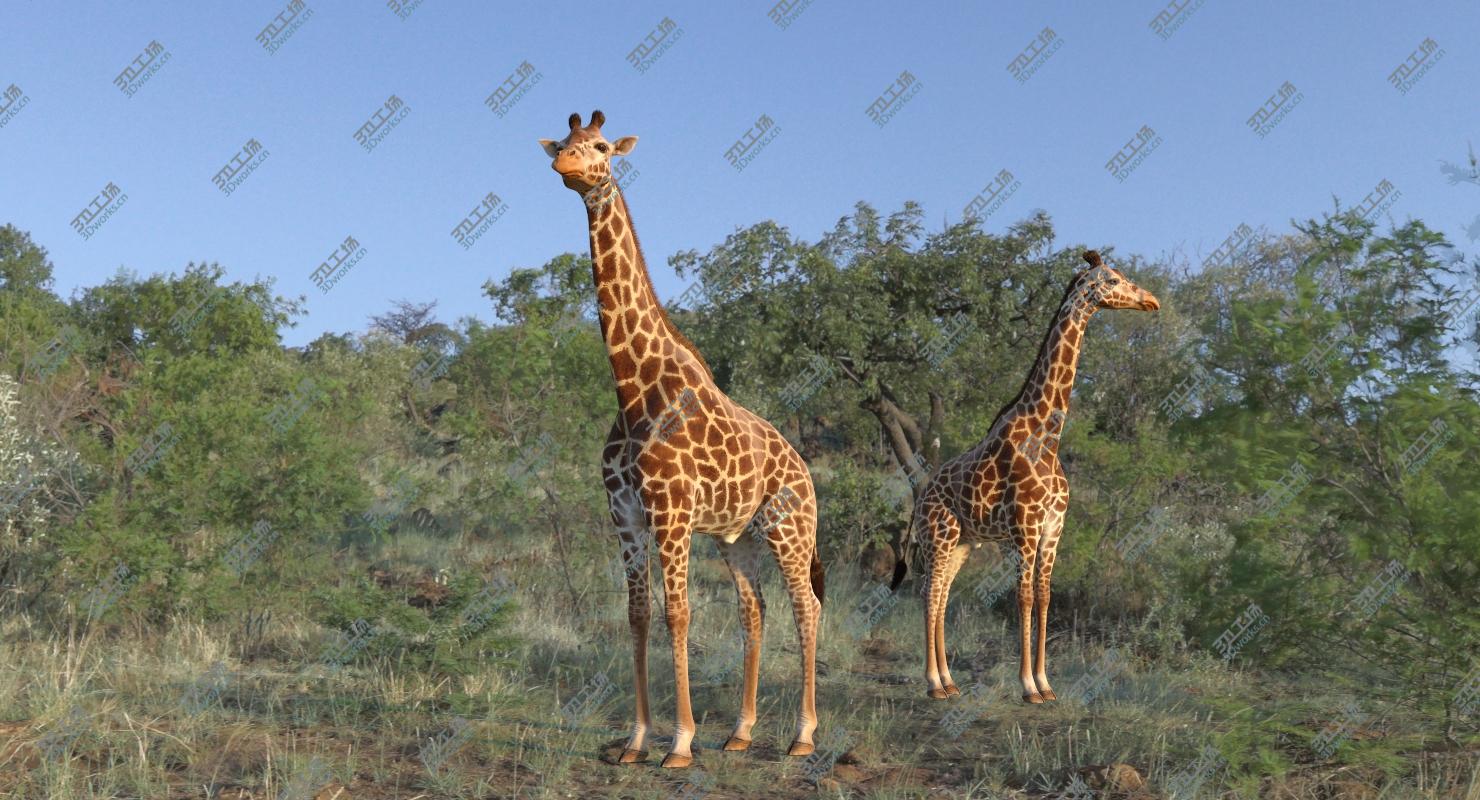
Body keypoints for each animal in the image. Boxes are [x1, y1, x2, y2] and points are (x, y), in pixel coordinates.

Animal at [538, 110, 824, 768]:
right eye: (560, 142)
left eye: (600, 147)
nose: (565, 167)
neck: (632, 387)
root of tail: (803, 466)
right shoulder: (626, 516)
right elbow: (639, 615)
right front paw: (636, 740)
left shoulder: (671, 514)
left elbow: (679, 615)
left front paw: (681, 742)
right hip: (736, 538)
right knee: (754, 608)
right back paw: (741, 731)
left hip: (790, 526)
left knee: (807, 605)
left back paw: (802, 735)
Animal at [889, 250, 1160, 702]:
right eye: (1114, 279)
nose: (1151, 301)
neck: (1047, 434)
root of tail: (921, 496)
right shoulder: (1024, 528)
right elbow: (1024, 597)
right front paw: (1028, 685)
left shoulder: (1052, 528)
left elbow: (1045, 596)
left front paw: (1046, 684)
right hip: (939, 535)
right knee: (929, 592)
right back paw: (933, 683)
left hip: (963, 542)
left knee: (942, 594)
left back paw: (950, 681)